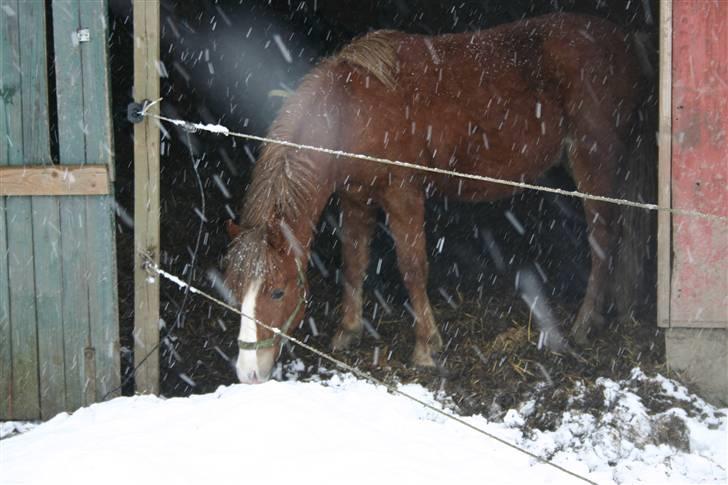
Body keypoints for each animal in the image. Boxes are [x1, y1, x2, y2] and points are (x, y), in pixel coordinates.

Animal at [223, 13, 644, 382]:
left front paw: (426, 346)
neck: (352, 111)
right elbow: (354, 262)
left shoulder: (402, 194)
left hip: (592, 161)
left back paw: (585, 324)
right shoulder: (355, 199)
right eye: (234, 288)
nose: (249, 373)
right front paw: (348, 330)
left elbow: (412, 267)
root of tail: (620, 41)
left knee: (603, 238)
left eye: (277, 291)